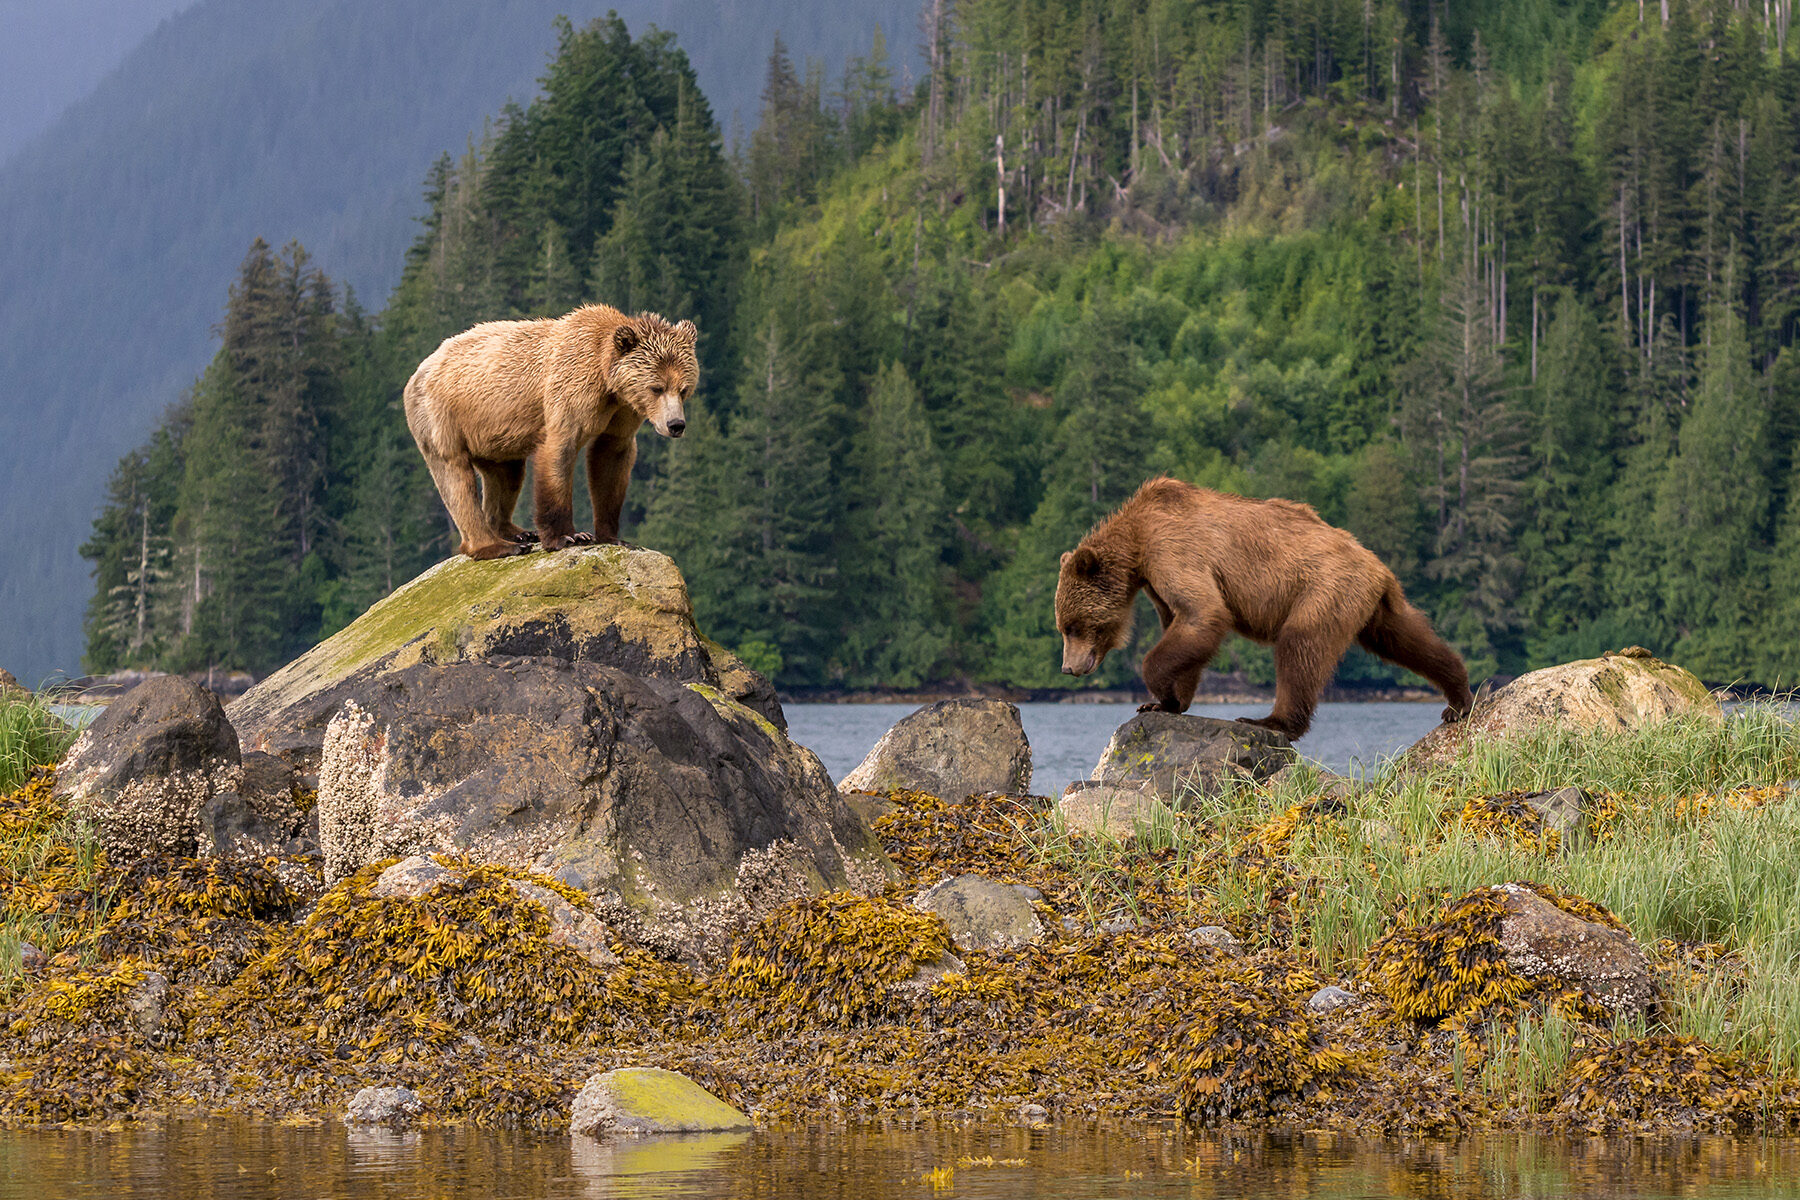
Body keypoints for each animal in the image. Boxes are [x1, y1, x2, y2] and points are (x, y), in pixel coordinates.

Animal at [405, 305, 698, 557]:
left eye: (683, 389)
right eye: (656, 387)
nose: (676, 425)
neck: (608, 383)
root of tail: (419, 370)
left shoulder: (623, 413)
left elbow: (610, 460)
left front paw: (612, 536)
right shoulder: (570, 391)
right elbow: (559, 453)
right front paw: (568, 536)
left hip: (493, 436)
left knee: (506, 475)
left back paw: (517, 532)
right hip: (444, 417)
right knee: (456, 479)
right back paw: (497, 545)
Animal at [1058, 478, 1468, 741]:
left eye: (1073, 626)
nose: (1068, 668)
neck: (1137, 541)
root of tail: (1377, 565)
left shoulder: (1173, 551)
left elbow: (1204, 613)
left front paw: (1157, 691)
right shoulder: (1155, 582)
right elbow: (1185, 625)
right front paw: (1167, 703)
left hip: (1322, 588)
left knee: (1299, 647)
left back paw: (1271, 720)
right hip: (1366, 602)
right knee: (1405, 639)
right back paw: (1458, 696)